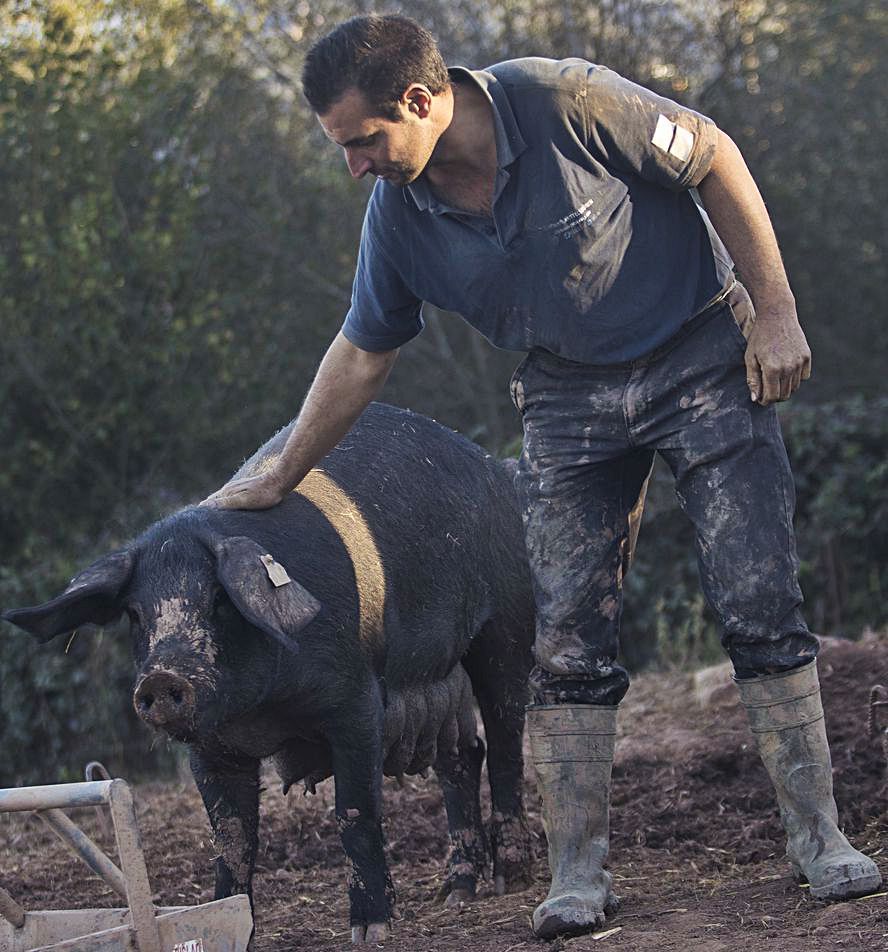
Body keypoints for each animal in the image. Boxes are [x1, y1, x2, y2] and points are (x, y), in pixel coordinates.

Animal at [3, 404, 536, 944]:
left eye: (219, 598)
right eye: (134, 613)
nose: (162, 678)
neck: (262, 710)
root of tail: (496, 469)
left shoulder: (357, 702)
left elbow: (354, 812)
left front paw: (371, 931)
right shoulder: (209, 748)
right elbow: (231, 839)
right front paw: (233, 922)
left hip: (506, 628)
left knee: (505, 745)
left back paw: (509, 879)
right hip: (444, 679)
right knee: (462, 757)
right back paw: (455, 893)